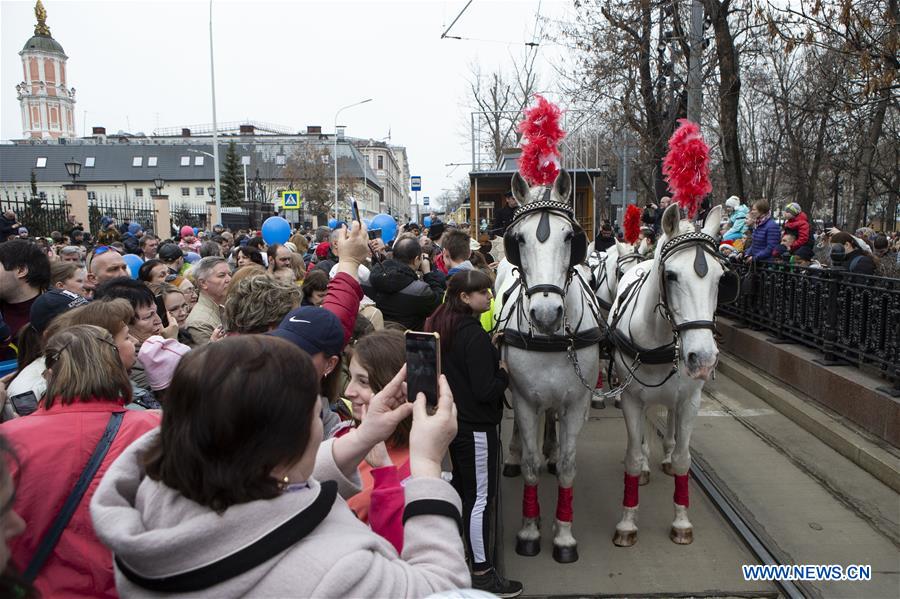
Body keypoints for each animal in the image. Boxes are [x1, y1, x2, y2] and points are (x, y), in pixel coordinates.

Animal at [492, 168, 604, 564]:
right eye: (519, 239)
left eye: (570, 237)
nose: (544, 313)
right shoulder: (526, 399)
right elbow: (529, 464)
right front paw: (529, 530)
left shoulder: (576, 401)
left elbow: (569, 466)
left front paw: (564, 536)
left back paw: (552, 451)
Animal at [608, 205, 728, 548]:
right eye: (672, 275)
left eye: (720, 278)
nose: (703, 358)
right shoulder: (631, 399)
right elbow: (634, 456)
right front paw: (627, 524)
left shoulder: (690, 400)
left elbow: (683, 460)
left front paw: (681, 522)